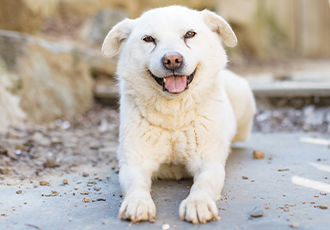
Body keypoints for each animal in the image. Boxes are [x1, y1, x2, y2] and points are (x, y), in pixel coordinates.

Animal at [101, 5, 255, 224]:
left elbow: (203, 184)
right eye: (148, 39)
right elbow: (136, 184)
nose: (172, 60)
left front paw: (198, 203)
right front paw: (138, 202)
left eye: (189, 34)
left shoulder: (208, 162)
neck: (174, 115)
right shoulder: (134, 162)